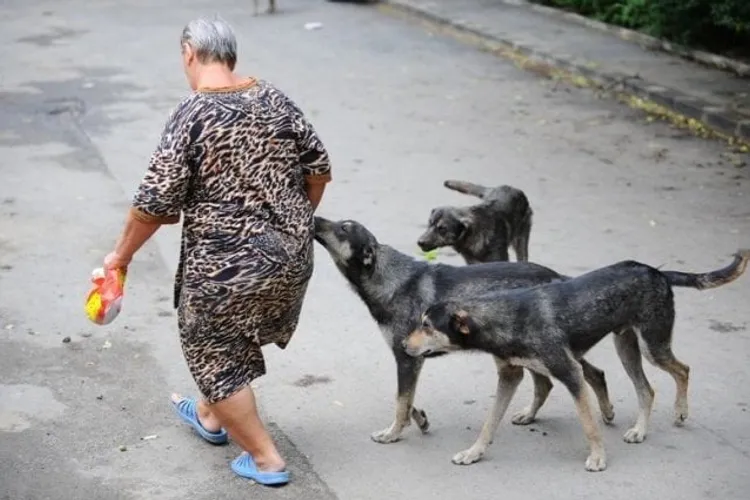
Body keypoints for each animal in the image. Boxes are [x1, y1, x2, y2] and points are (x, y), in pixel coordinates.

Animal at [314, 215, 612, 446]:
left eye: (343, 228)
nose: (315, 217)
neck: (391, 280)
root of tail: (558, 277)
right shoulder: (410, 357)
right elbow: (406, 400)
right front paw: (419, 419)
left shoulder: (407, 358)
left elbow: (400, 402)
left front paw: (393, 433)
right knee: (553, 381)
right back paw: (532, 414)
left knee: (589, 373)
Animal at [406, 250, 750, 472]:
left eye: (428, 326)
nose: (403, 345)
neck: (503, 317)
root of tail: (656, 271)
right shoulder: (510, 376)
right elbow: (490, 422)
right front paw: (474, 453)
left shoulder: (571, 373)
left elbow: (589, 425)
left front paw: (598, 458)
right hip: (627, 348)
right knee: (647, 389)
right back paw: (639, 430)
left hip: (653, 346)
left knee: (683, 370)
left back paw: (679, 411)